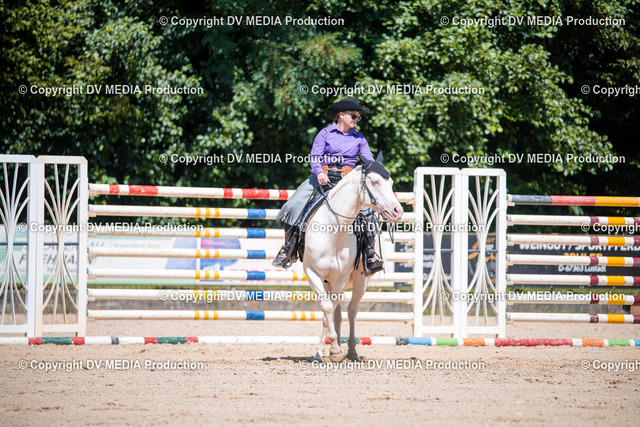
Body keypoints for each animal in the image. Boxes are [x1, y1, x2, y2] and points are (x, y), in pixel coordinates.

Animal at [303, 157, 404, 361]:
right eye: (375, 182)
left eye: (390, 183)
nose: (397, 210)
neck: (333, 231)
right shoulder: (312, 273)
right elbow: (326, 309)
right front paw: (326, 350)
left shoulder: (342, 277)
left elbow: (331, 310)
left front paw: (335, 349)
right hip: (328, 281)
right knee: (336, 311)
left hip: (359, 281)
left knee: (351, 311)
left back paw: (351, 350)